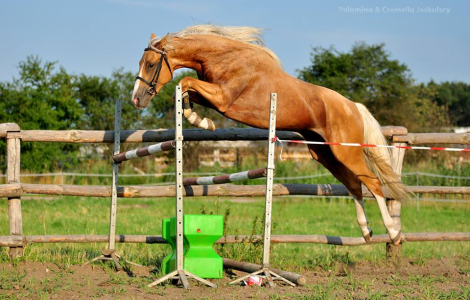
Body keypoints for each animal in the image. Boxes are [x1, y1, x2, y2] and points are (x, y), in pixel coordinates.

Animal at [132, 24, 408, 245]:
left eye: (151, 64)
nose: (137, 99)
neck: (224, 57)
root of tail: (353, 107)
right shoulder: (213, 95)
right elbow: (187, 90)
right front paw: (201, 119)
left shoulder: (223, 98)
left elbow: (186, 82)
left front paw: (200, 120)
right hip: (325, 154)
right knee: (354, 185)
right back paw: (367, 231)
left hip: (345, 151)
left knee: (372, 183)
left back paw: (393, 233)